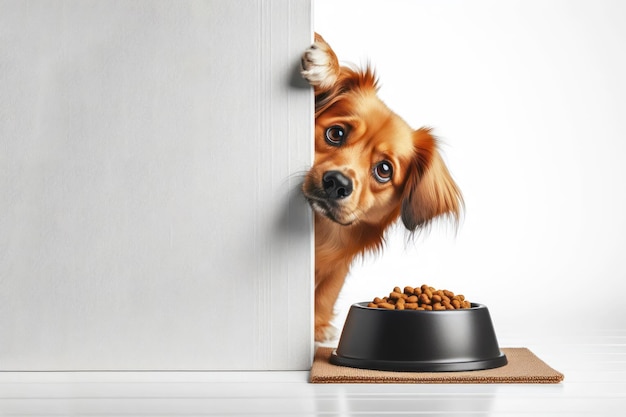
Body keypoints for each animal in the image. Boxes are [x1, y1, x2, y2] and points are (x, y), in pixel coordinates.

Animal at [300, 33, 460, 342]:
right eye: (335, 133)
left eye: (384, 170)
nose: (337, 183)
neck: (320, 231)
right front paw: (325, 64)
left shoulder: (338, 266)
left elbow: (328, 290)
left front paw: (317, 325)